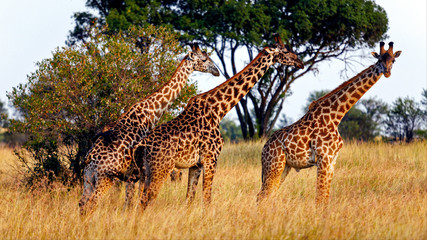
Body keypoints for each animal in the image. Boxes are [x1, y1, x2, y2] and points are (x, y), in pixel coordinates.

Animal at [79, 43, 221, 216]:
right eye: (204, 59)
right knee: (92, 204)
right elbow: (134, 201)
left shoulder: (134, 174)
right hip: (105, 178)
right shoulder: (138, 172)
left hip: (88, 178)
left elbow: (130, 203)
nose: (217, 71)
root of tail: (90, 158)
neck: (151, 112)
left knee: (82, 204)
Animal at [133, 34, 304, 210]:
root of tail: (142, 145)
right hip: (161, 168)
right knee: (148, 198)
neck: (219, 110)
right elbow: (207, 199)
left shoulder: (196, 165)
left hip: (147, 170)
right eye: (285, 50)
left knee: (141, 200)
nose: (300, 62)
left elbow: (189, 199)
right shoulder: (211, 158)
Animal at [260, 41, 402, 206]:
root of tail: (264, 149)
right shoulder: (324, 158)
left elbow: (325, 198)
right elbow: (320, 198)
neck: (336, 116)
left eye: (393, 60)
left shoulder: (332, 160)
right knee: (262, 195)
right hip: (274, 166)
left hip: (284, 167)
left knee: (267, 195)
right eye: (379, 60)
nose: (387, 72)